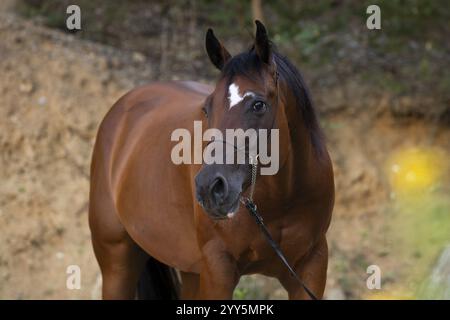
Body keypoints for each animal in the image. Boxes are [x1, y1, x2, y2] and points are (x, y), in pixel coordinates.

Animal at [89, 20, 334, 300]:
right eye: (207, 108)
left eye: (258, 105)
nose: (210, 188)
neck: (283, 198)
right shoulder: (218, 269)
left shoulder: (311, 266)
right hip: (117, 264)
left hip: (190, 269)